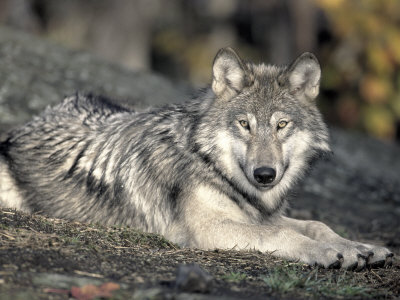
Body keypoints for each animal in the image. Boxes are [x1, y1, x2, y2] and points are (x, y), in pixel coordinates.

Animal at [0, 47, 392, 270]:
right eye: (244, 124)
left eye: (281, 125)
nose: (265, 174)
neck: (209, 162)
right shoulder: (211, 229)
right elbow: (284, 234)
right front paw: (331, 253)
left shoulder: (259, 215)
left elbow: (316, 225)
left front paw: (363, 247)